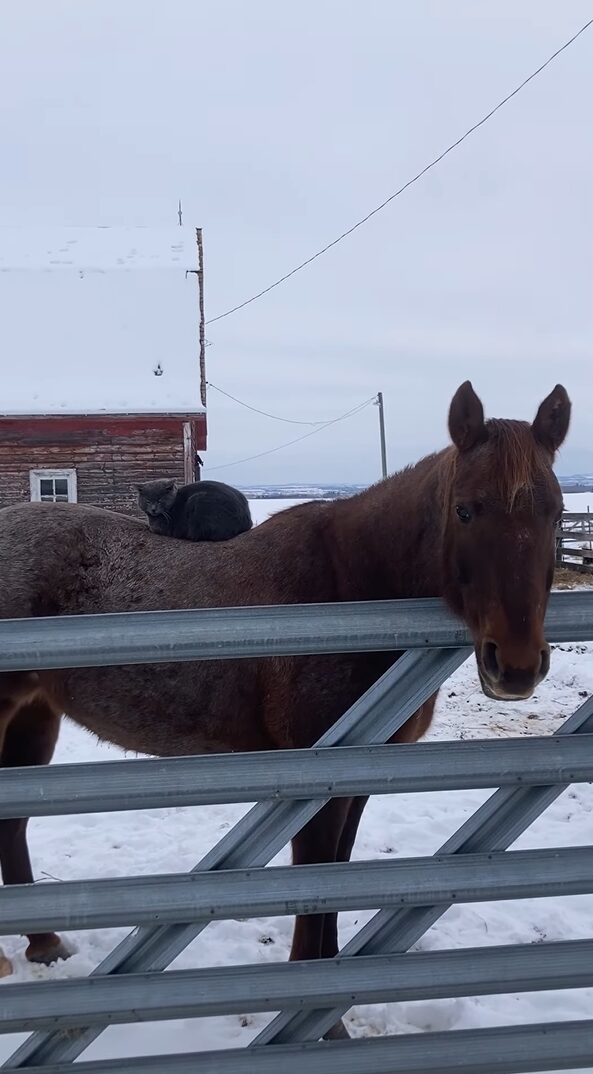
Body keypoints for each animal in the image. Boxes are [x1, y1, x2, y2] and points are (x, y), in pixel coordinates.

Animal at [0, 382, 571, 983]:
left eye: (556, 515)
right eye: (464, 510)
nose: (516, 665)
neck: (350, 582)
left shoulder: (361, 777)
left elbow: (337, 872)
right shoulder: (310, 779)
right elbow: (315, 883)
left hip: (33, 716)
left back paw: (44, 943)